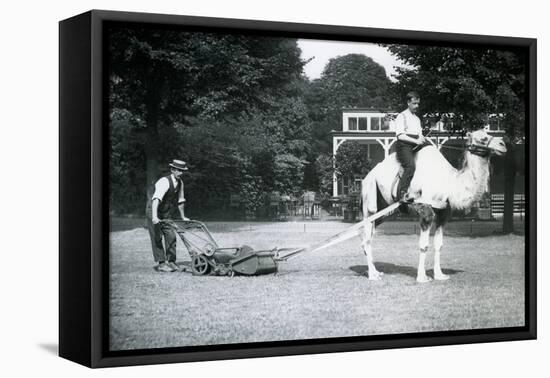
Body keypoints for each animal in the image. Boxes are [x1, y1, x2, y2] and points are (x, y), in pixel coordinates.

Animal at [362, 129, 508, 280]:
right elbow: (424, 245)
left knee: (368, 236)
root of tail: (367, 177)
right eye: (482, 138)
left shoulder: (443, 214)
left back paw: (375, 271)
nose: (503, 144)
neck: (449, 182)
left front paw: (439, 275)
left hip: (384, 212)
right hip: (370, 200)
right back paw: (373, 275)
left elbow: (439, 245)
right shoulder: (426, 211)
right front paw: (422, 277)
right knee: (367, 237)